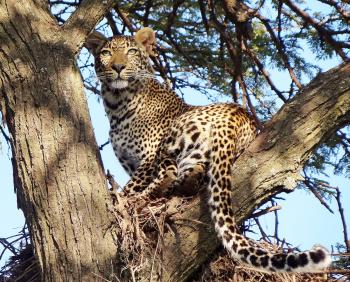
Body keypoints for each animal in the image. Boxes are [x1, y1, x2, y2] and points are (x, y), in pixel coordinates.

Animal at [85, 27, 330, 272]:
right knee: (190, 177)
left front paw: (119, 198)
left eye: (132, 52)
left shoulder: (147, 158)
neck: (117, 103)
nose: (118, 67)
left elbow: (132, 187)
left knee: (167, 173)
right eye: (106, 53)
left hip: (172, 138)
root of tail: (235, 115)